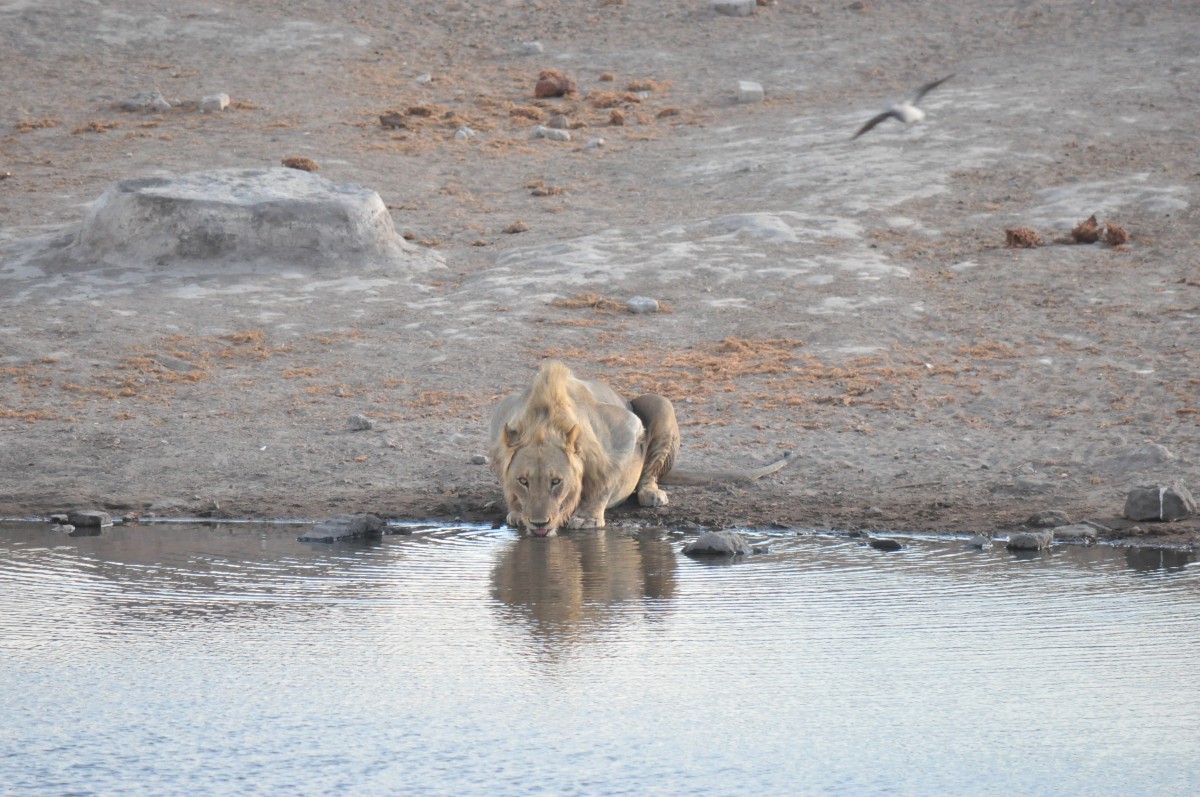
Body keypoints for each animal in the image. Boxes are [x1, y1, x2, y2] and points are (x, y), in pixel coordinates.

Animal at [482, 360, 792, 535]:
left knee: (650, 473)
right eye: (523, 481)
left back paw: (652, 494)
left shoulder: (625, 428)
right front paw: (516, 512)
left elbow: (605, 479)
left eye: (556, 481)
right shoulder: (500, 417)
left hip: (660, 403)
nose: (539, 523)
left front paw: (587, 518)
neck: (545, 421)